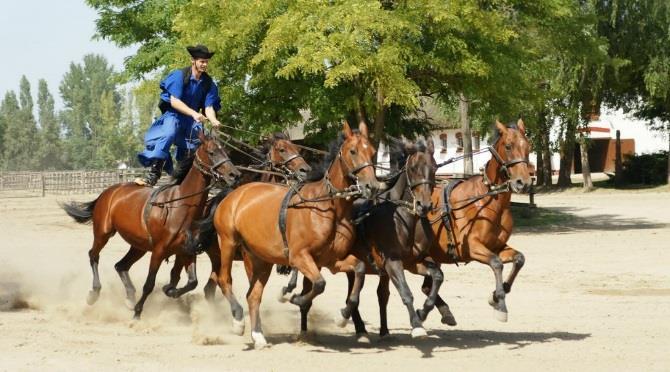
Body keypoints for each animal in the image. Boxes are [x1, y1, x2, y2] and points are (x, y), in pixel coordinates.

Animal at [61, 129, 242, 318]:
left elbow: (192, 282)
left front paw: (170, 290)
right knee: (93, 255)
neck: (180, 206)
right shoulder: (159, 251)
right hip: (103, 233)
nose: (235, 175)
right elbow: (149, 284)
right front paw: (138, 312)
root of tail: (109, 191)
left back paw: (129, 297)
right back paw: (94, 293)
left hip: (139, 246)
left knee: (120, 266)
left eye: (226, 152)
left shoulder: (187, 250)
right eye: (212, 152)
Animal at [207, 120, 384, 348]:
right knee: (224, 279)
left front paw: (343, 317)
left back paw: (258, 336)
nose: (372, 186)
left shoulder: (331, 261)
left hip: (261, 259)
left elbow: (359, 270)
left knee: (253, 295)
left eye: (372, 152)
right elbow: (319, 284)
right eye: (353, 151)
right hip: (228, 244)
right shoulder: (299, 257)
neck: (327, 206)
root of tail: (234, 194)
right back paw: (238, 321)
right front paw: (296, 298)